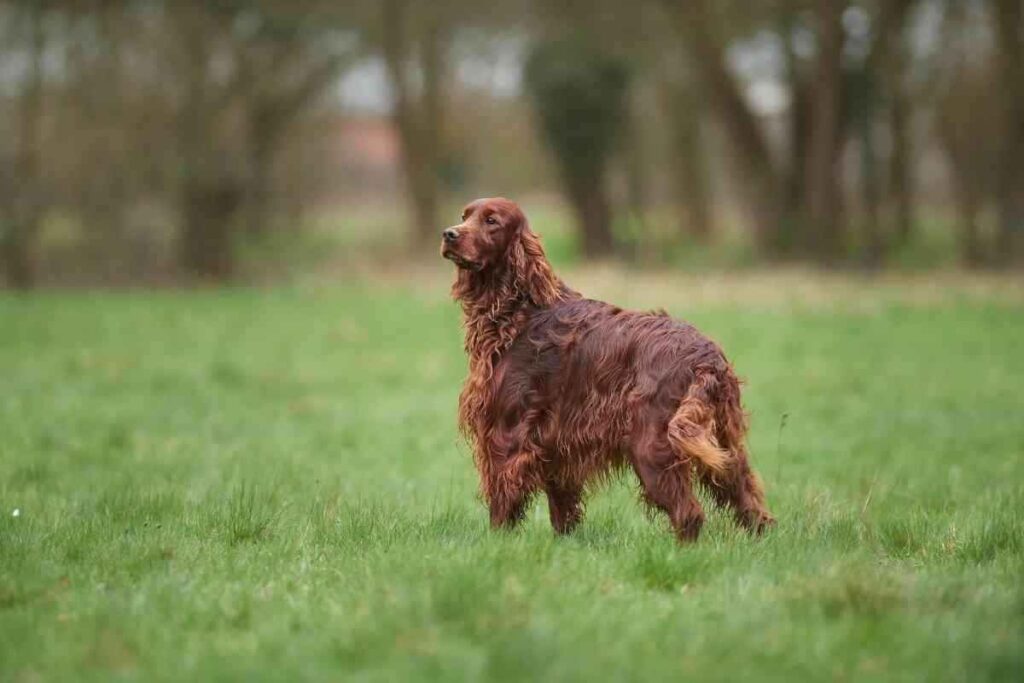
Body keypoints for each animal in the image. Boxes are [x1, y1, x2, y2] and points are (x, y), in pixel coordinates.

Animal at [436, 198, 770, 544]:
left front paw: (498, 544)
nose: (449, 234)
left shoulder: (507, 435)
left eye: (492, 221)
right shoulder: (556, 448)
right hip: (723, 445)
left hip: (652, 447)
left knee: (689, 514)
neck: (518, 311)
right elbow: (563, 512)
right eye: (464, 216)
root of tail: (705, 355)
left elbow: (502, 506)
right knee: (751, 503)